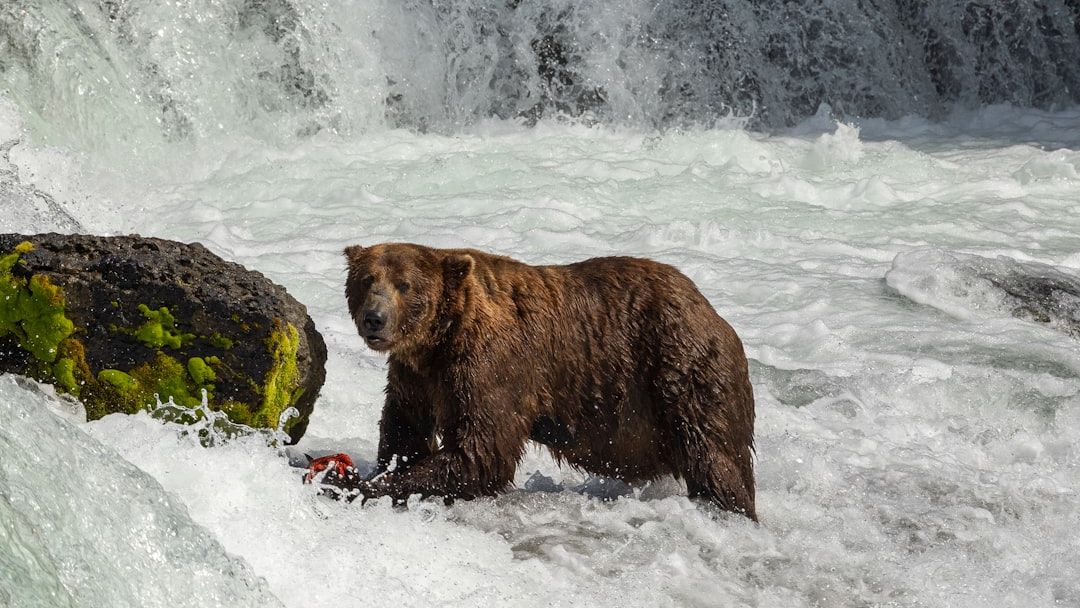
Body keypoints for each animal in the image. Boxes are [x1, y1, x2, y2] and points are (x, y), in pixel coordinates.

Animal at [334, 242, 757, 520]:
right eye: (367, 279)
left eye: (405, 285)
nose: (375, 319)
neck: (439, 340)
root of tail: (713, 312)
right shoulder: (416, 377)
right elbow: (405, 429)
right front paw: (367, 473)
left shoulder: (490, 366)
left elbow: (479, 451)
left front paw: (359, 486)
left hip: (684, 371)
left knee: (716, 458)